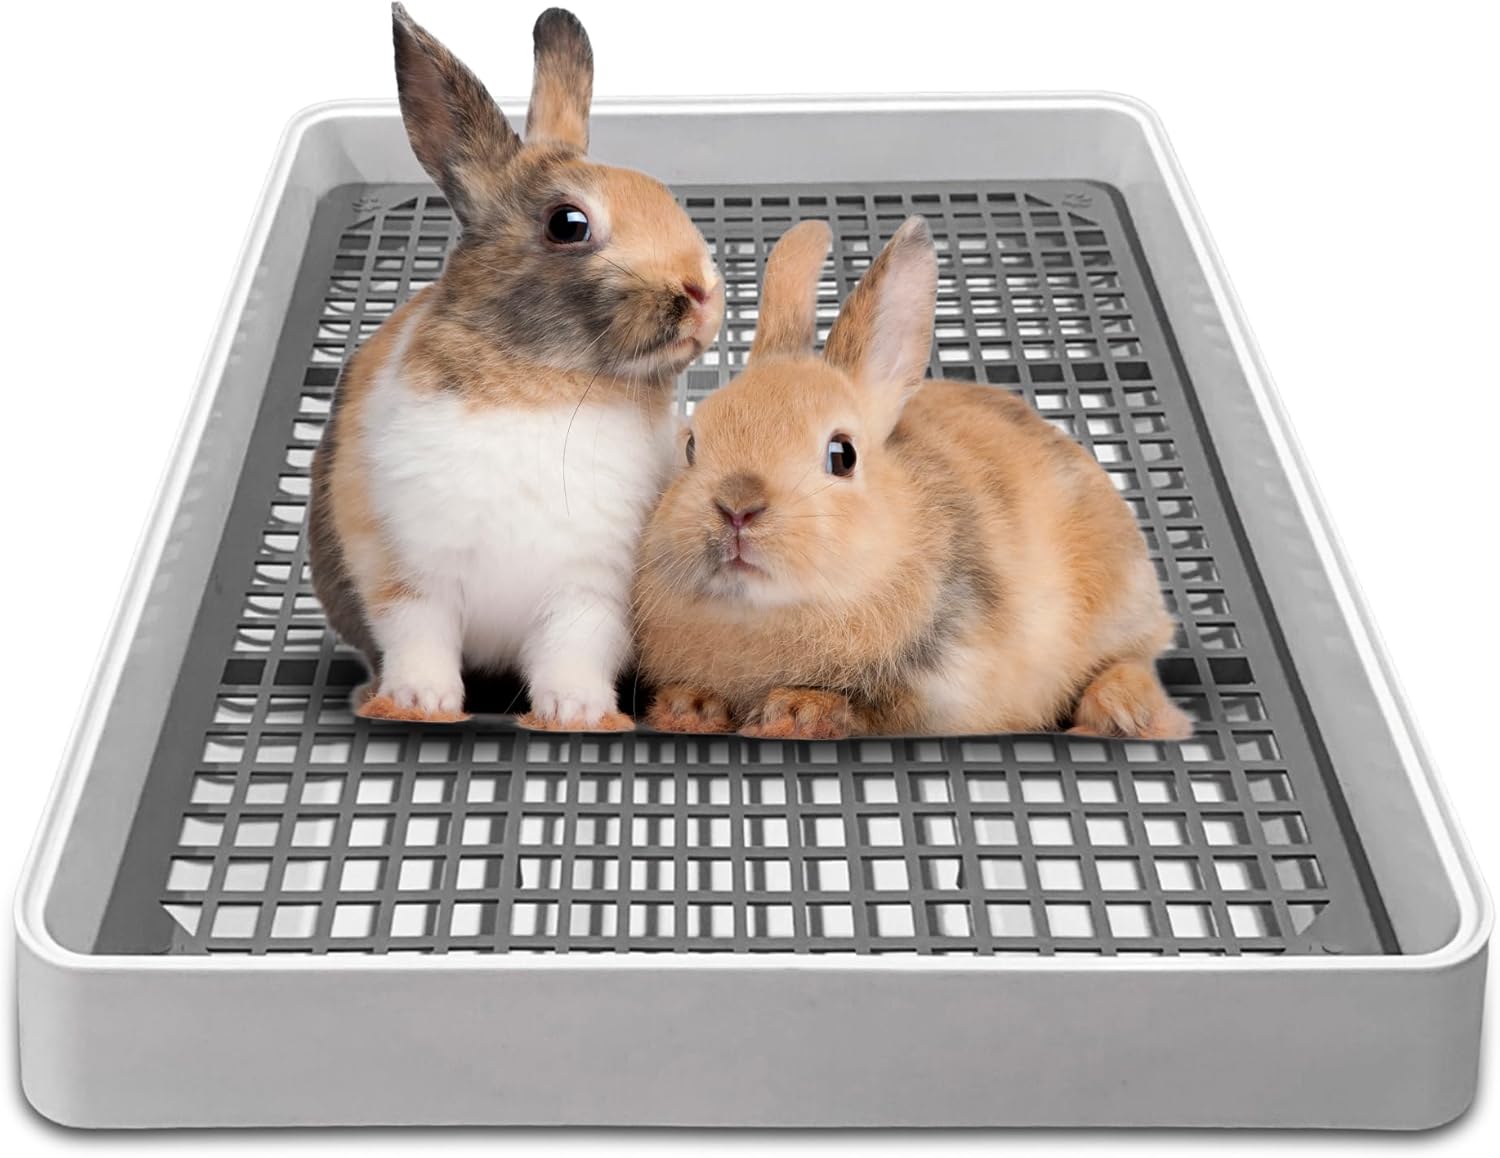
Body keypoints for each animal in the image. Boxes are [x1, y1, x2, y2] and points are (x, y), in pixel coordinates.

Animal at [309, 5, 723, 730]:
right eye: (568, 223)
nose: (703, 290)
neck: (552, 384)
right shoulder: (407, 572)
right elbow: (418, 638)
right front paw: (420, 702)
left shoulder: (591, 591)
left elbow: (573, 652)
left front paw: (578, 713)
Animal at [633, 217, 1191, 741]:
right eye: (690, 446)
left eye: (843, 455)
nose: (737, 507)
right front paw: (688, 711)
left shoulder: (940, 687)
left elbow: (866, 708)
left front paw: (795, 714)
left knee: (1132, 659)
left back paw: (1123, 712)